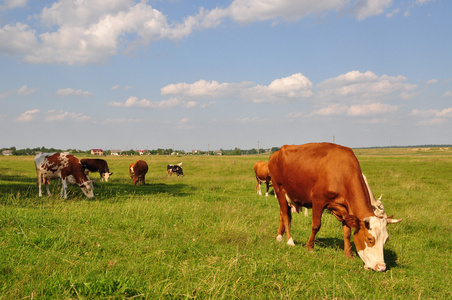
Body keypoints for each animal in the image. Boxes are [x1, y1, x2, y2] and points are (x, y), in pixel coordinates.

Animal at [266, 143, 400, 272]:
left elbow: (347, 232)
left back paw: (279, 237)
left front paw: (349, 254)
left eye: (386, 240)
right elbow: (316, 226)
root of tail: (277, 152)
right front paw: (309, 246)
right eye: (370, 239)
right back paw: (289, 241)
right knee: (286, 216)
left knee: (283, 215)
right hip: (279, 189)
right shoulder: (318, 200)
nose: (381, 267)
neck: (343, 173)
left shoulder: (346, 209)